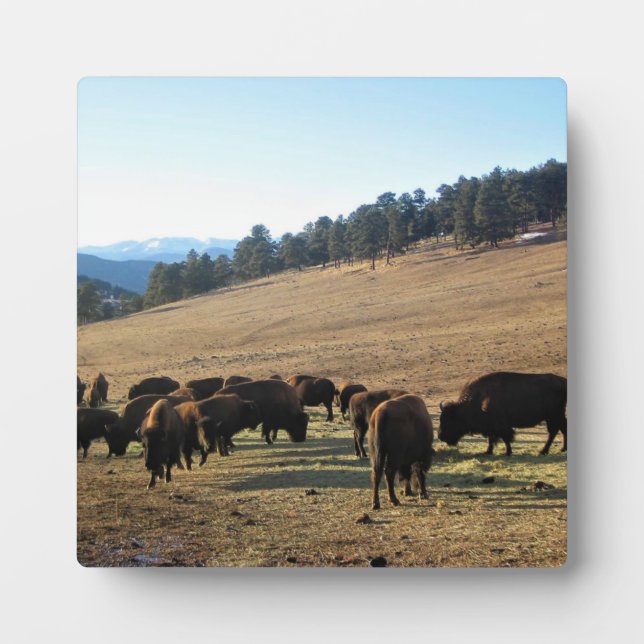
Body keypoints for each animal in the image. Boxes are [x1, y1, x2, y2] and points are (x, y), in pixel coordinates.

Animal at [438, 371, 568, 456]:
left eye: (449, 419)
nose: (440, 436)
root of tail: (564, 382)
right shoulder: (491, 426)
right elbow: (491, 439)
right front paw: (488, 451)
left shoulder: (501, 425)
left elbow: (505, 438)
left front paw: (507, 452)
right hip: (556, 416)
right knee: (562, 429)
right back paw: (562, 449)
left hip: (553, 416)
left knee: (553, 431)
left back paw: (543, 451)